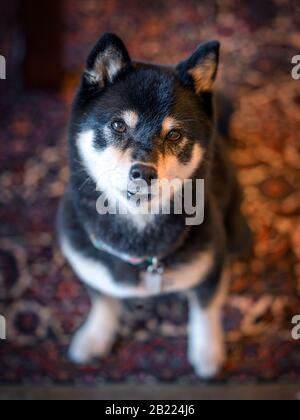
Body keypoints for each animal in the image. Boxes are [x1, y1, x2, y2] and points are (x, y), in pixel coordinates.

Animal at [57, 33, 252, 378]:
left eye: (174, 134)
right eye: (118, 125)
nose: (143, 172)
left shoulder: (210, 268)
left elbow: (205, 312)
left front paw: (207, 353)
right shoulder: (90, 266)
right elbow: (103, 301)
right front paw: (95, 337)